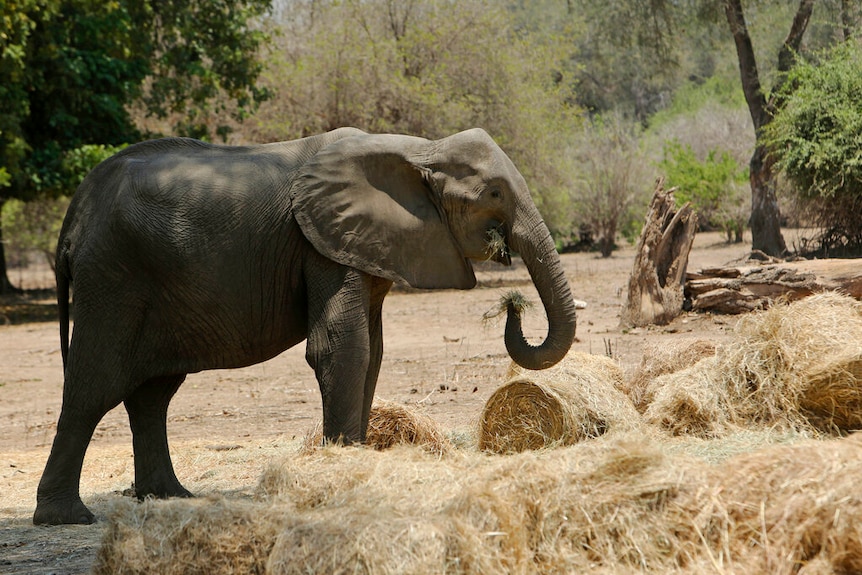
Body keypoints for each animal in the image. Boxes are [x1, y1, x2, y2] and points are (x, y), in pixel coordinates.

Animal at [32, 127, 580, 528]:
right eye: (493, 192)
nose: (513, 307)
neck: (419, 148)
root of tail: (73, 215)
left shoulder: (362, 245)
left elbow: (372, 351)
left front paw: (357, 463)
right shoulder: (322, 243)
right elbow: (341, 346)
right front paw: (340, 473)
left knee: (153, 395)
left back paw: (170, 498)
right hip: (113, 278)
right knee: (93, 386)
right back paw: (67, 518)